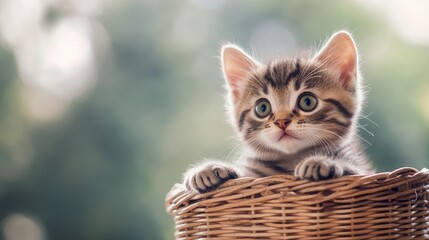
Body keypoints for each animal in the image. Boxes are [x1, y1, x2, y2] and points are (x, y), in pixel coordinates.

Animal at [182, 30, 372, 193]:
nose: (282, 122)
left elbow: (352, 169)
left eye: (307, 102)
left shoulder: (361, 169)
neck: (290, 161)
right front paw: (209, 169)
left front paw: (322, 162)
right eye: (262, 108)